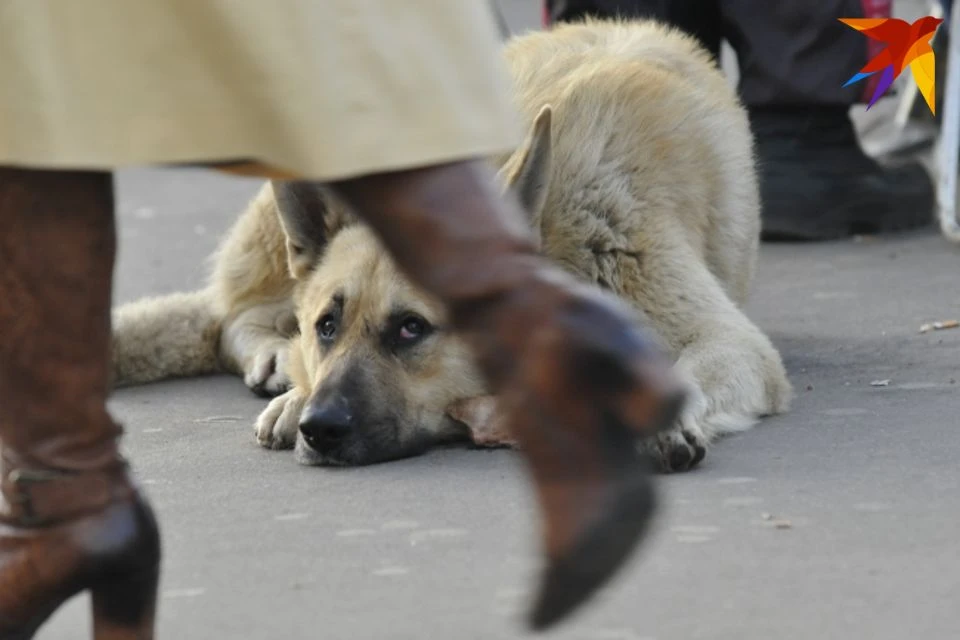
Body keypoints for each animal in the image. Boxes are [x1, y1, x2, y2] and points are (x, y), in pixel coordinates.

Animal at [109, 17, 792, 472]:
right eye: (327, 325)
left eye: (412, 328)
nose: (319, 427)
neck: (557, 235)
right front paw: (296, 389)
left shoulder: (729, 342)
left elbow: (690, 367)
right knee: (232, 316)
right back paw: (279, 360)